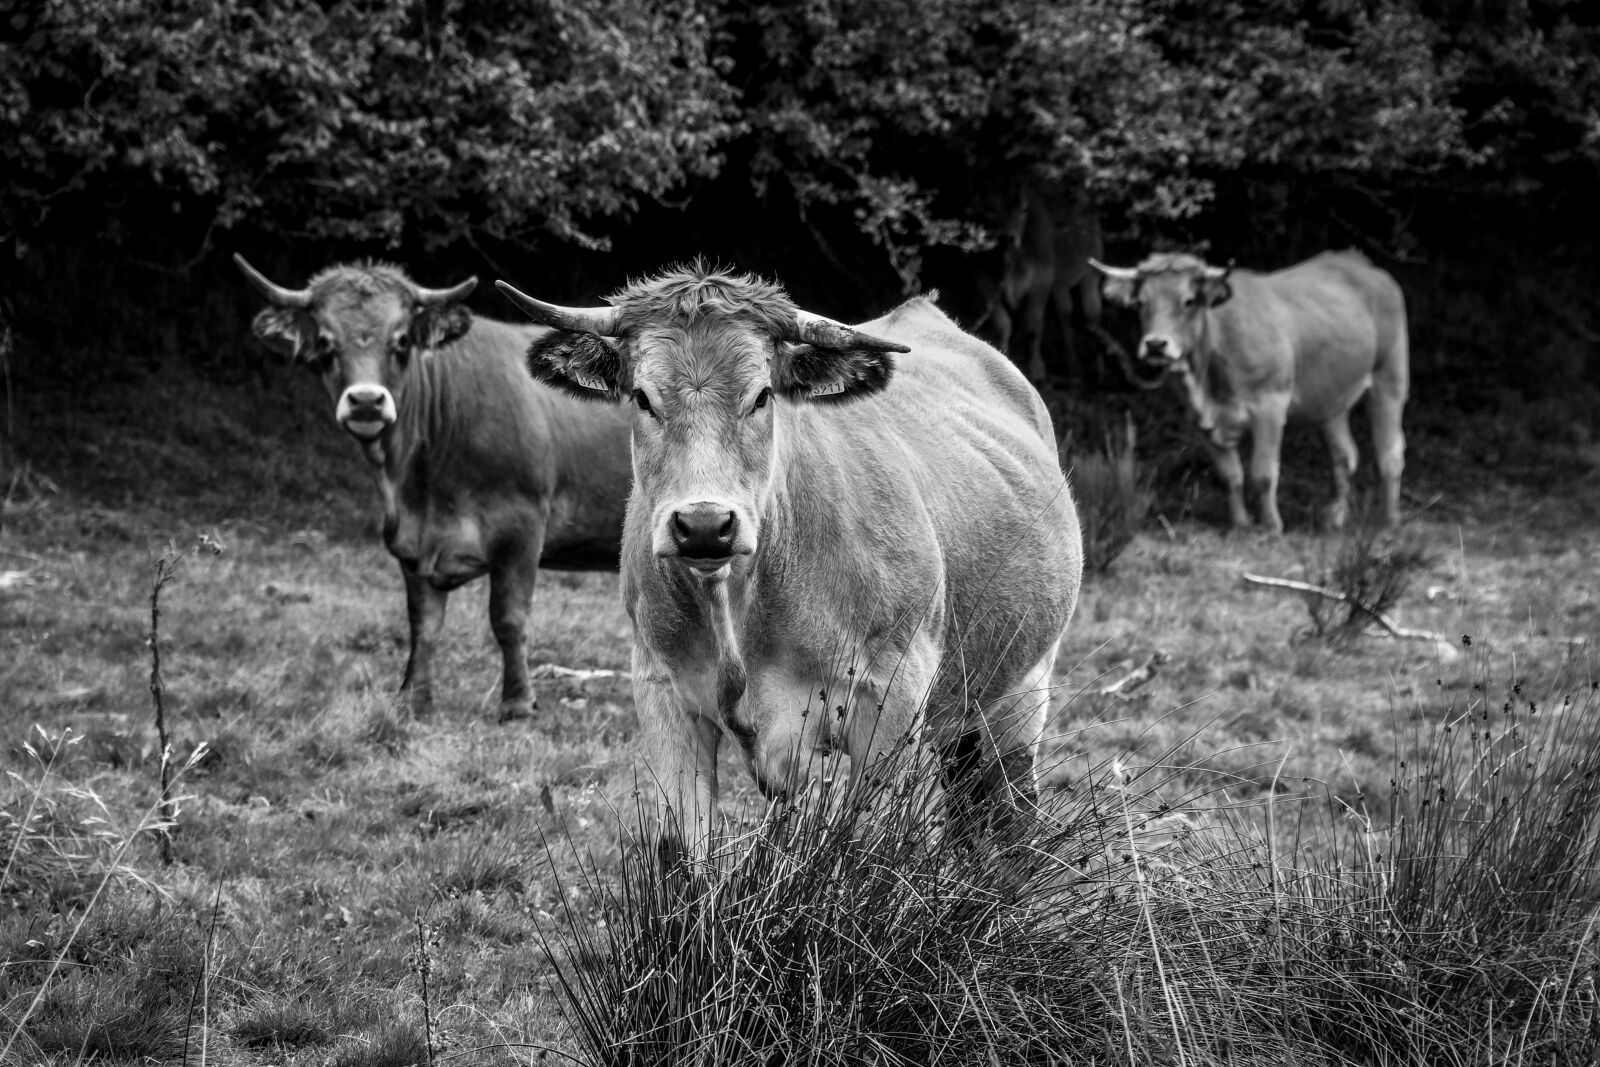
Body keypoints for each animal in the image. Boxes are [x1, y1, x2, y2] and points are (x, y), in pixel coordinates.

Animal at [234, 255, 633, 722]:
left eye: (402, 340)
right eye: (326, 344)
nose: (366, 401)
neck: (418, 488)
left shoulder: (522, 526)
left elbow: (508, 618)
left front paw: (517, 703)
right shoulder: (412, 545)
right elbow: (422, 624)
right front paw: (412, 697)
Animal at [496, 264, 1083, 863]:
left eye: (761, 396)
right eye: (642, 396)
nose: (704, 523)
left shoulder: (891, 703)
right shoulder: (662, 696)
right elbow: (684, 854)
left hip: (1021, 692)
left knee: (1011, 819)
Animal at [1090, 250, 1408, 533]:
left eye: (1189, 301)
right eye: (1141, 303)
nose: (1156, 344)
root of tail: (1361, 265)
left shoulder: (1270, 407)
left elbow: (1263, 473)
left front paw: (1271, 526)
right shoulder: (1201, 421)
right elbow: (1231, 475)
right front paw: (1241, 523)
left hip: (1389, 378)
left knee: (1390, 453)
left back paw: (1390, 519)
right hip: (1330, 399)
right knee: (1344, 455)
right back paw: (1336, 518)